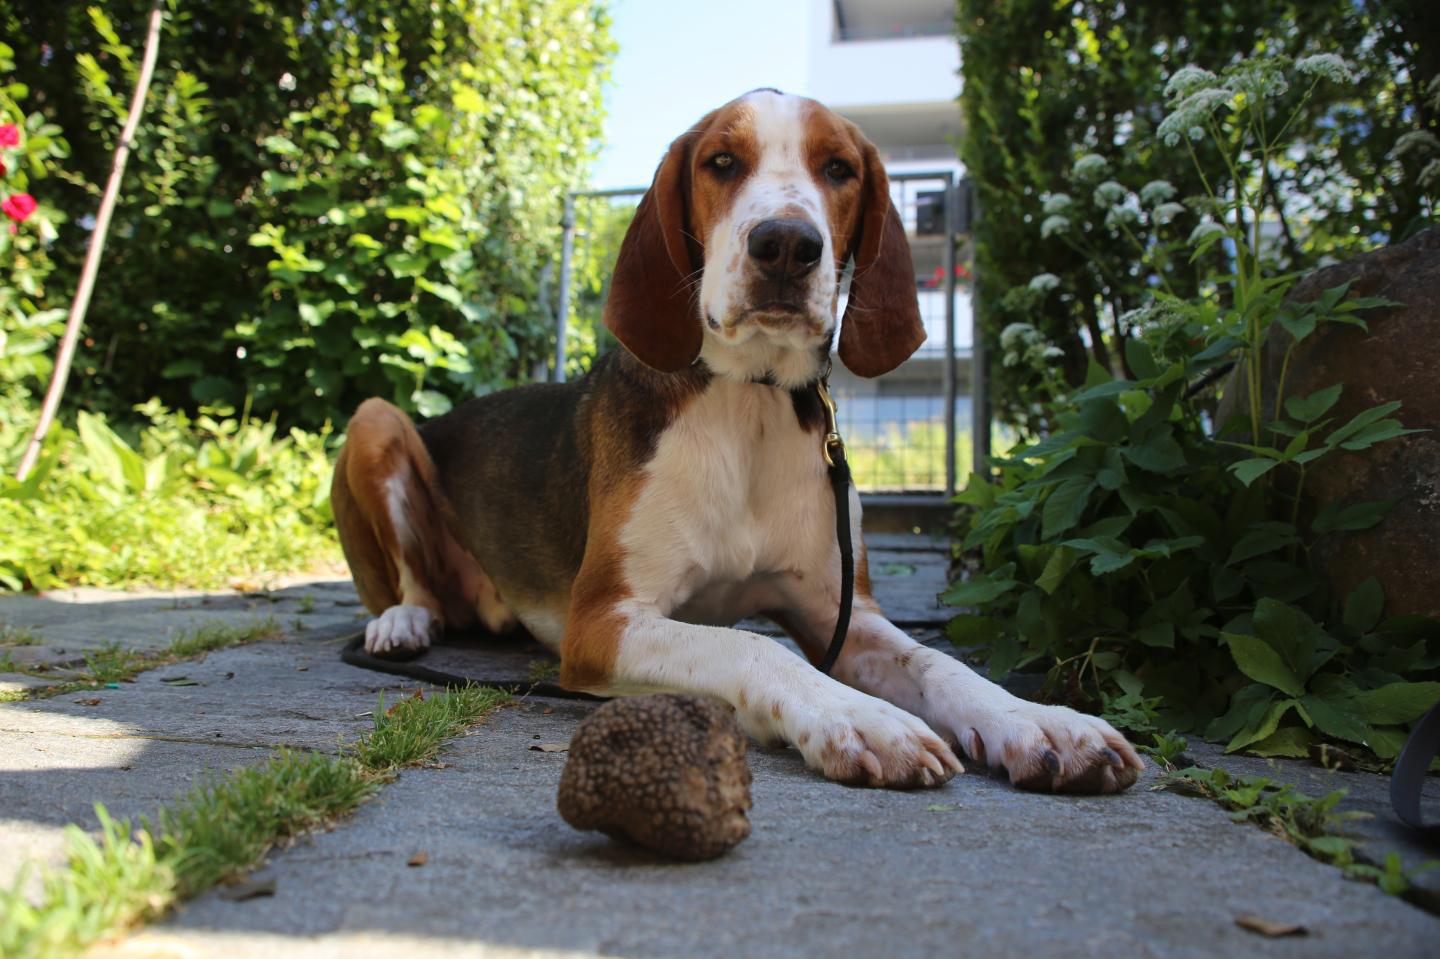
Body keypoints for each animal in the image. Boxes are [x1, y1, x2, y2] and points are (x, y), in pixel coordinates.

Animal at [331, 89, 1140, 789]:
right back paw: (403, 621)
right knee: (409, 581)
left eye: (838, 169)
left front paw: (1040, 722)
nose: (785, 244)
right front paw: (861, 718)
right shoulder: (601, 622)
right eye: (722, 161)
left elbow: (941, 665)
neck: (751, 400)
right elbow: (751, 642)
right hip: (375, 419)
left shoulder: (845, 616)